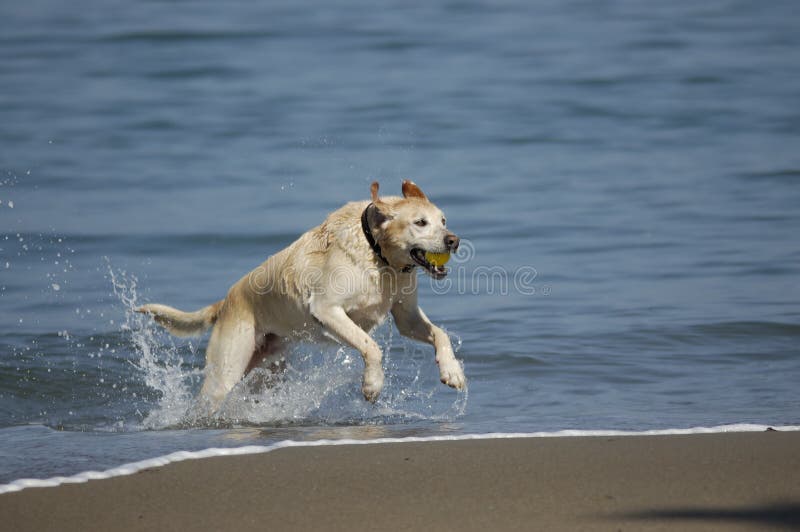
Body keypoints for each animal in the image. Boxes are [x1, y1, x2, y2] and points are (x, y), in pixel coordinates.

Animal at [136, 181, 462, 414]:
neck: (378, 255)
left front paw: (453, 371)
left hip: (268, 369)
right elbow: (371, 346)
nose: (453, 240)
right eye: (420, 223)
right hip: (226, 370)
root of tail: (226, 302)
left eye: (444, 220)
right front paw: (372, 385)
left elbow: (441, 334)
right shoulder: (328, 310)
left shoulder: (407, 317)